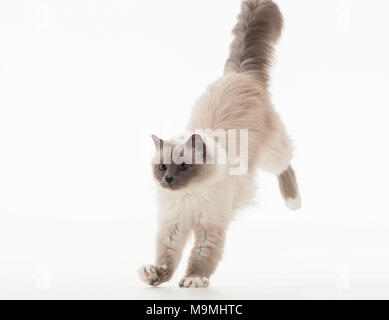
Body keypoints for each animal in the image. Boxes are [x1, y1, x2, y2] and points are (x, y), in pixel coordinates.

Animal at [139, 0, 300, 288]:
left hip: (272, 154)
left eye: (182, 167)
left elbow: (201, 257)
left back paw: (294, 202)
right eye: (162, 167)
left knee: (286, 164)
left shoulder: (209, 226)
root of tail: (239, 74)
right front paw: (154, 275)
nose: (168, 180)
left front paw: (193, 280)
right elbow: (167, 259)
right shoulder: (174, 226)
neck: (189, 195)